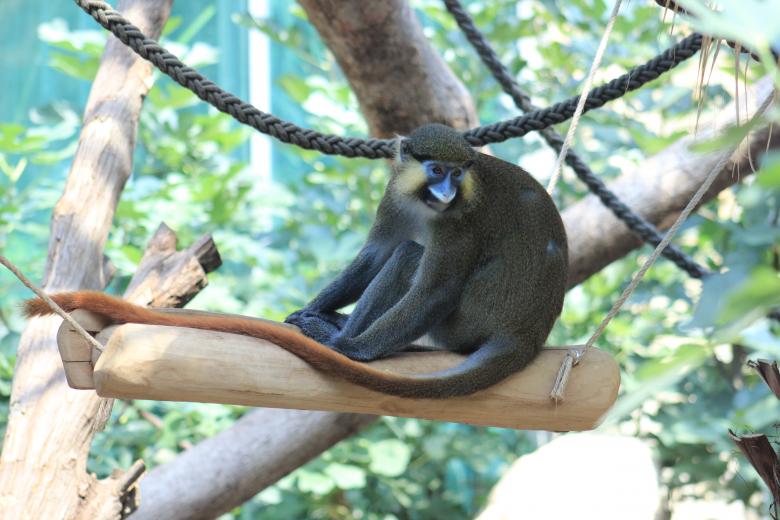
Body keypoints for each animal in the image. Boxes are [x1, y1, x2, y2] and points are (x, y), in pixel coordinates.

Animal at [25, 123, 568, 399]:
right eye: (436, 170)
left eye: (458, 173)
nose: (448, 191)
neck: (426, 205)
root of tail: (524, 336)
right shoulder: (395, 196)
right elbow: (375, 253)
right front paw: (311, 310)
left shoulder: (461, 223)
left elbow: (434, 286)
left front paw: (353, 350)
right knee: (403, 253)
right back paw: (329, 322)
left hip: (464, 323)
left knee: (413, 258)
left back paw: (342, 340)